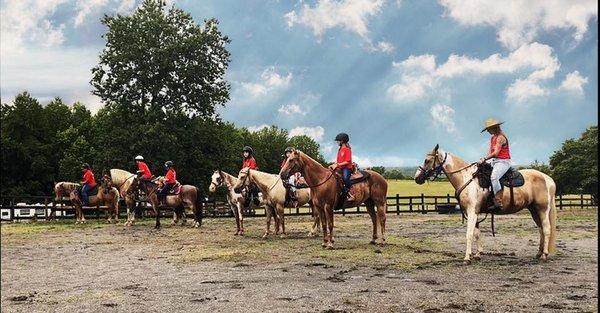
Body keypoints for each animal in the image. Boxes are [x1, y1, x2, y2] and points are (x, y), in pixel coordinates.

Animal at [412, 145, 556, 262]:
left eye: (427, 160)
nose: (417, 178)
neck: (466, 177)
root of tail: (548, 179)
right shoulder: (473, 212)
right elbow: (476, 233)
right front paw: (477, 254)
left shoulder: (471, 211)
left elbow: (469, 234)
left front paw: (467, 258)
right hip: (533, 210)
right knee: (541, 229)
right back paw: (539, 253)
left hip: (542, 209)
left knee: (546, 229)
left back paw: (544, 255)